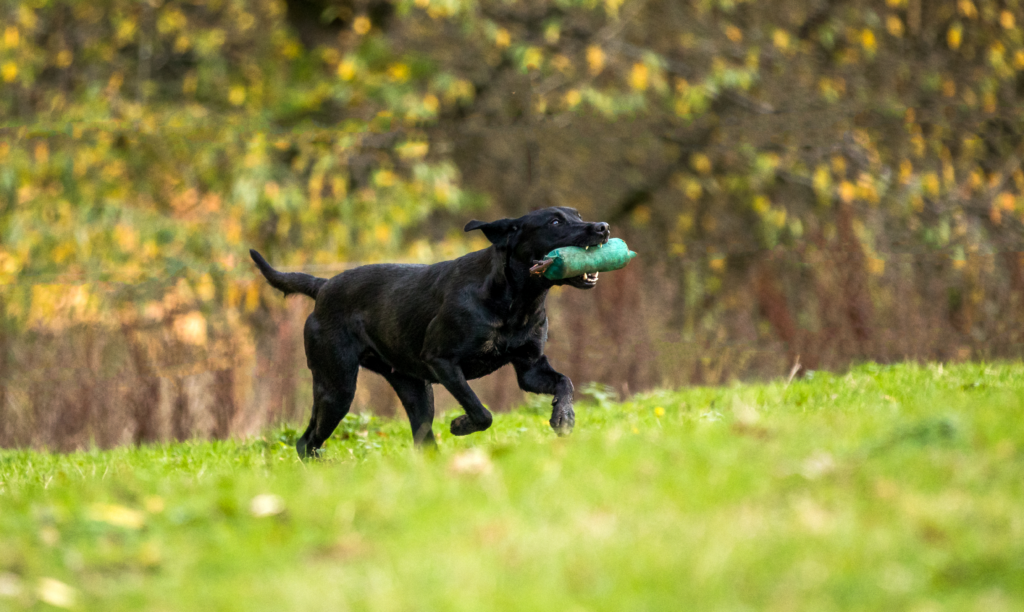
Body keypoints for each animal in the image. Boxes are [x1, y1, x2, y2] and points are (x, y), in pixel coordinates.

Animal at [250, 206, 610, 457]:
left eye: (577, 215)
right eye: (555, 223)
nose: (603, 227)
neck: (516, 300)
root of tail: (323, 286)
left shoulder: (530, 369)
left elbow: (566, 382)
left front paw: (564, 417)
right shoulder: (442, 361)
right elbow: (481, 411)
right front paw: (462, 425)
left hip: (414, 390)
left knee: (422, 440)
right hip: (337, 387)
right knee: (306, 441)